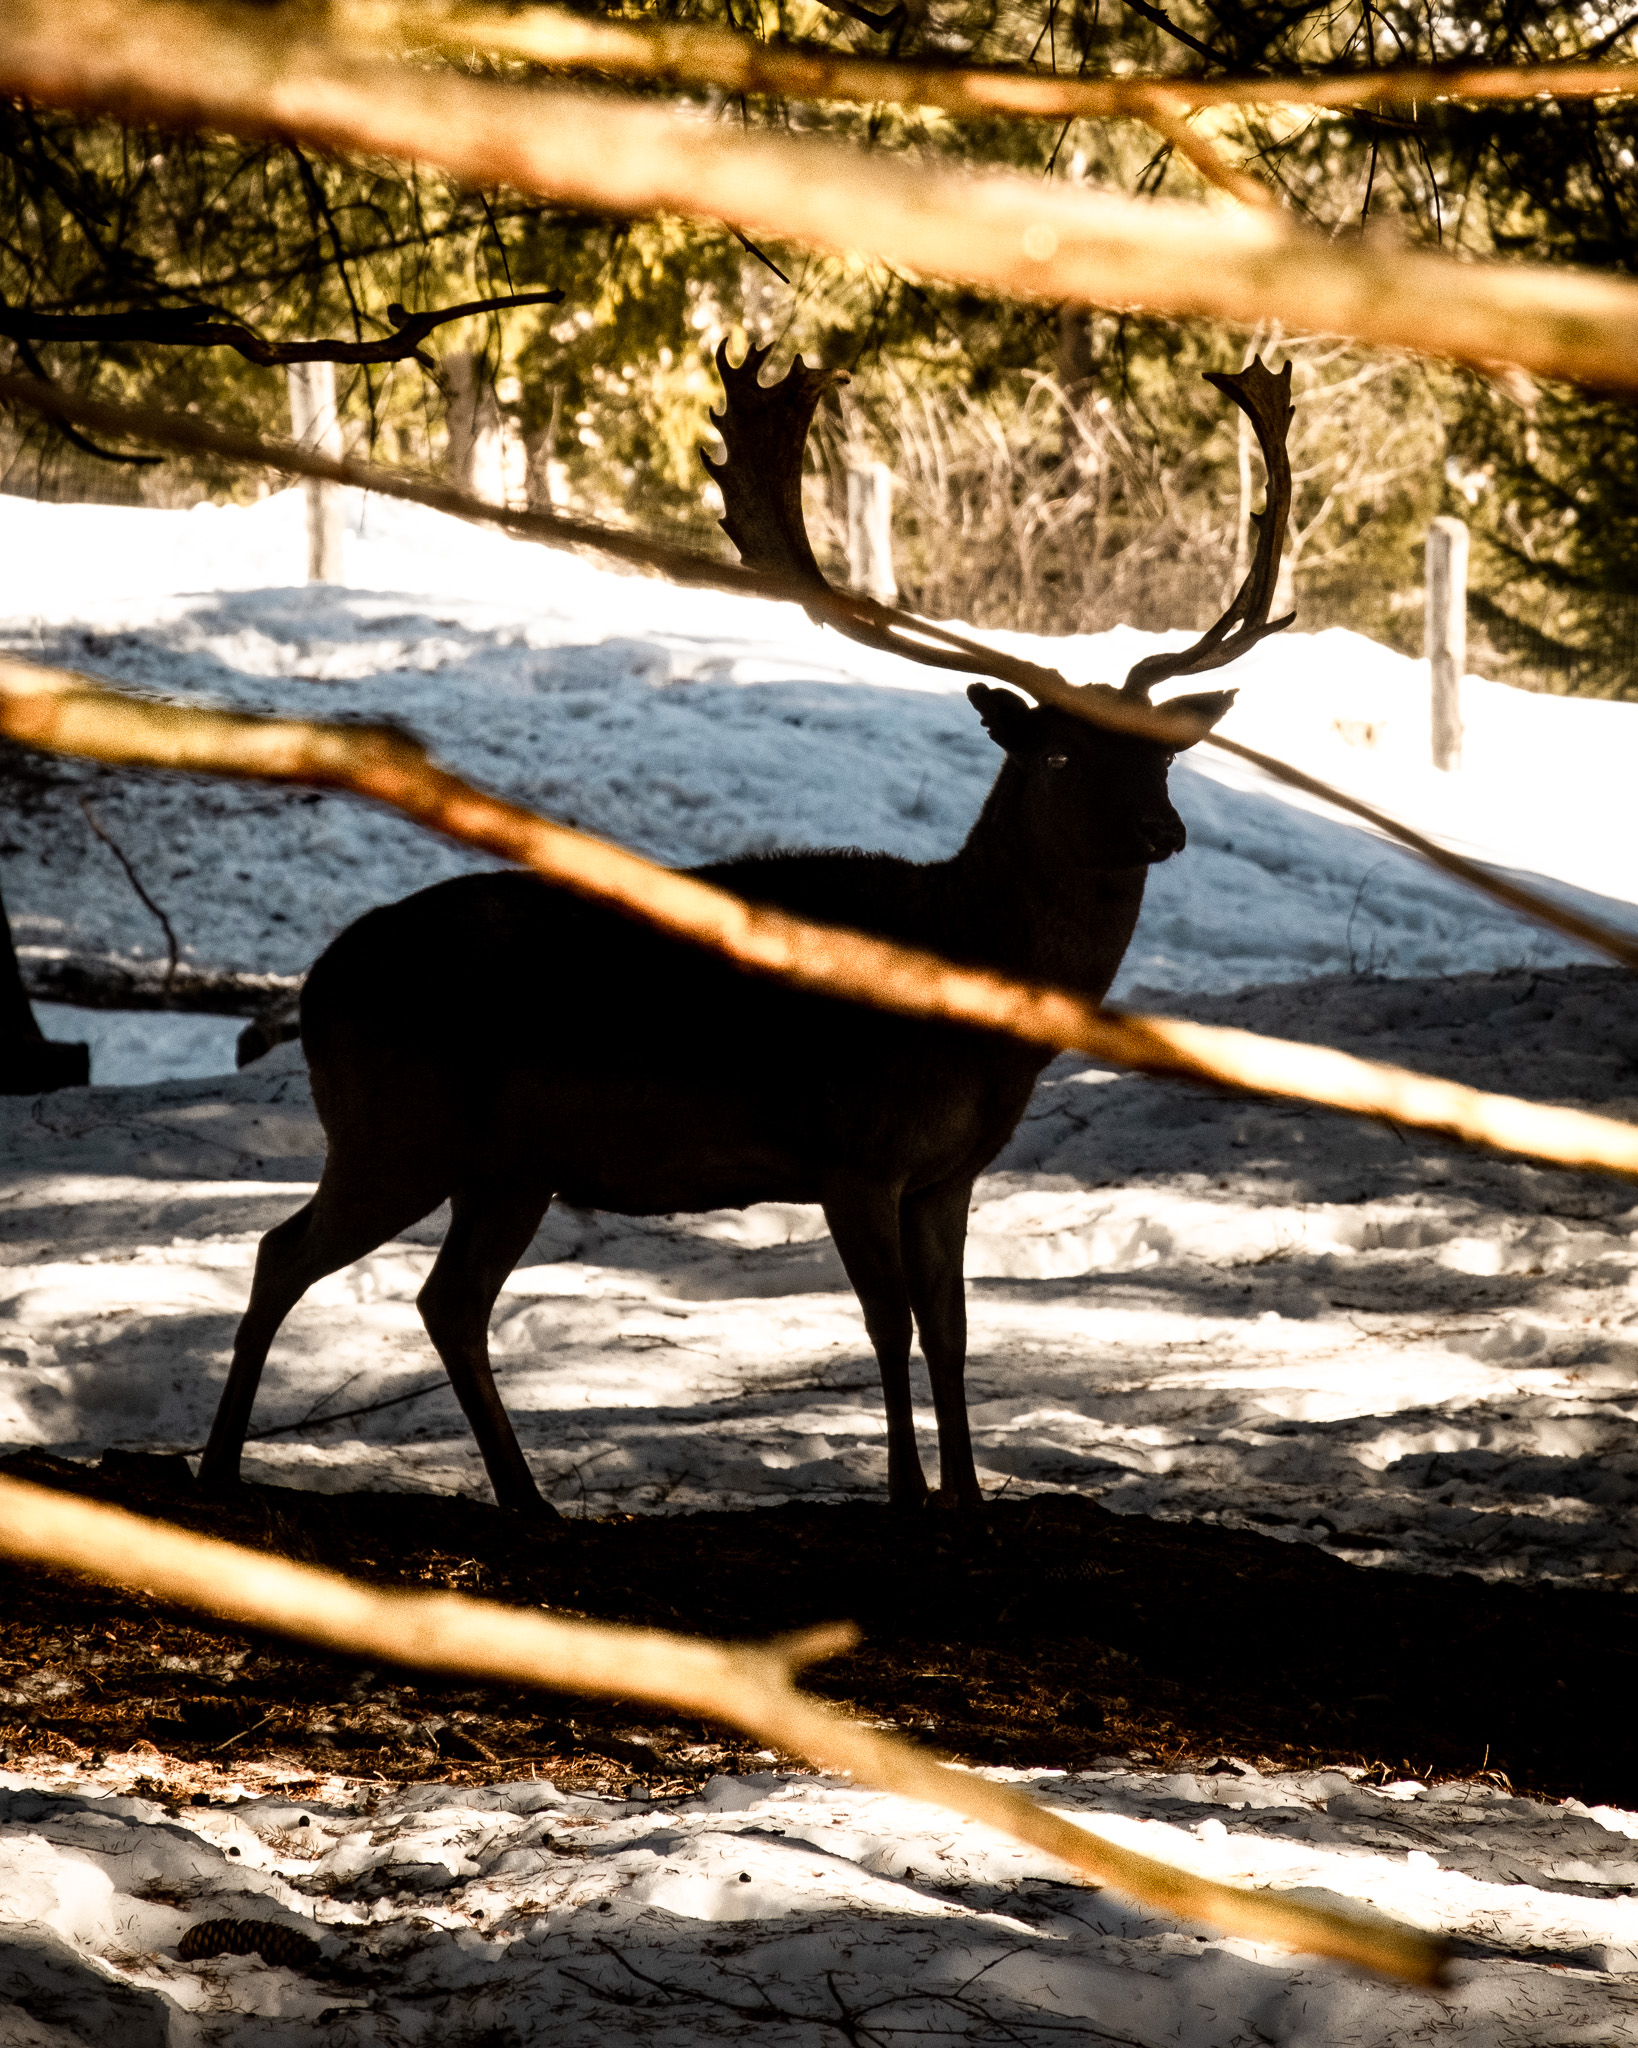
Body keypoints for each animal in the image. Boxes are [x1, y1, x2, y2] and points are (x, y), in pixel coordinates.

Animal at [197, 354, 1294, 1519]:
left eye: (1161, 754)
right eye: (1056, 756)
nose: (1164, 830)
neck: (975, 1011)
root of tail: (315, 984)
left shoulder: (948, 1171)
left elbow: (953, 1333)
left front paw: (968, 1499)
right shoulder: (851, 1150)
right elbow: (890, 1326)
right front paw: (906, 1495)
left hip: (508, 1164)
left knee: (446, 1299)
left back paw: (528, 1501)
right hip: (394, 1130)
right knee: (283, 1252)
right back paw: (220, 1466)